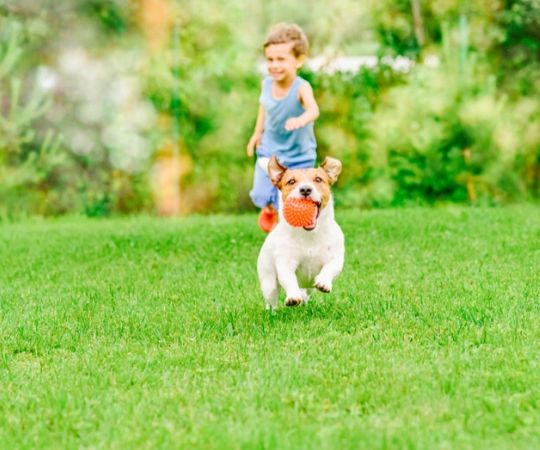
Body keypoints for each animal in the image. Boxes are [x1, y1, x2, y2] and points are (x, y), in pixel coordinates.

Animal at [256, 156, 342, 310]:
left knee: (306, 292)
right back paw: (272, 312)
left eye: (318, 179)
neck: (309, 235)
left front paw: (324, 282)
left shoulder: (336, 257)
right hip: (268, 281)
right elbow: (289, 279)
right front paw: (293, 297)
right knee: (271, 299)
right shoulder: (285, 262)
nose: (305, 189)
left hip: (309, 287)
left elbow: (330, 267)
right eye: (291, 181)